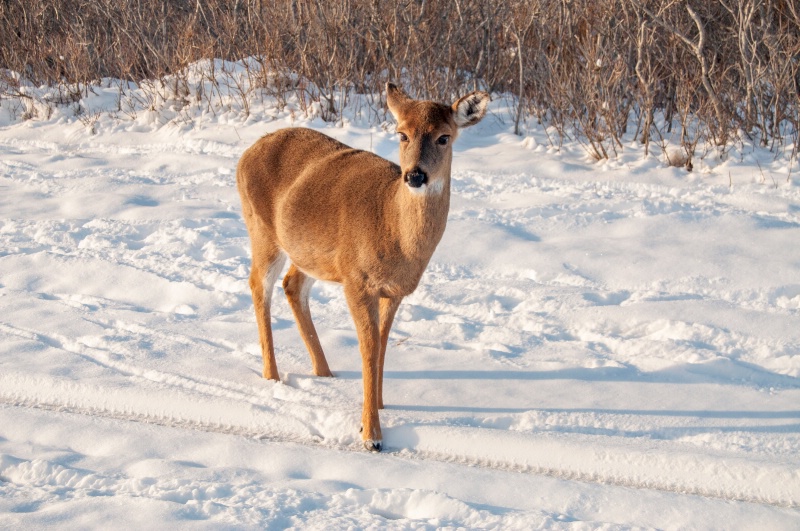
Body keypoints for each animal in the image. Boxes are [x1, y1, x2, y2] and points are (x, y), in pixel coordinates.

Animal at [234, 83, 490, 454]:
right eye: (402, 133)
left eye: (444, 137)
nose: (415, 175)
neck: (393, 229)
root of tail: (247, 152)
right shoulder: (357, 281)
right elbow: (368, 350)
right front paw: (371, 434)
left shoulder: (394, 291)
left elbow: (381, 346)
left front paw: (381, 404)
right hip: (262, 230)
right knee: (259, 285)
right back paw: (273, 376)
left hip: (308, 252)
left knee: (292, 284)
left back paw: (324, 373)